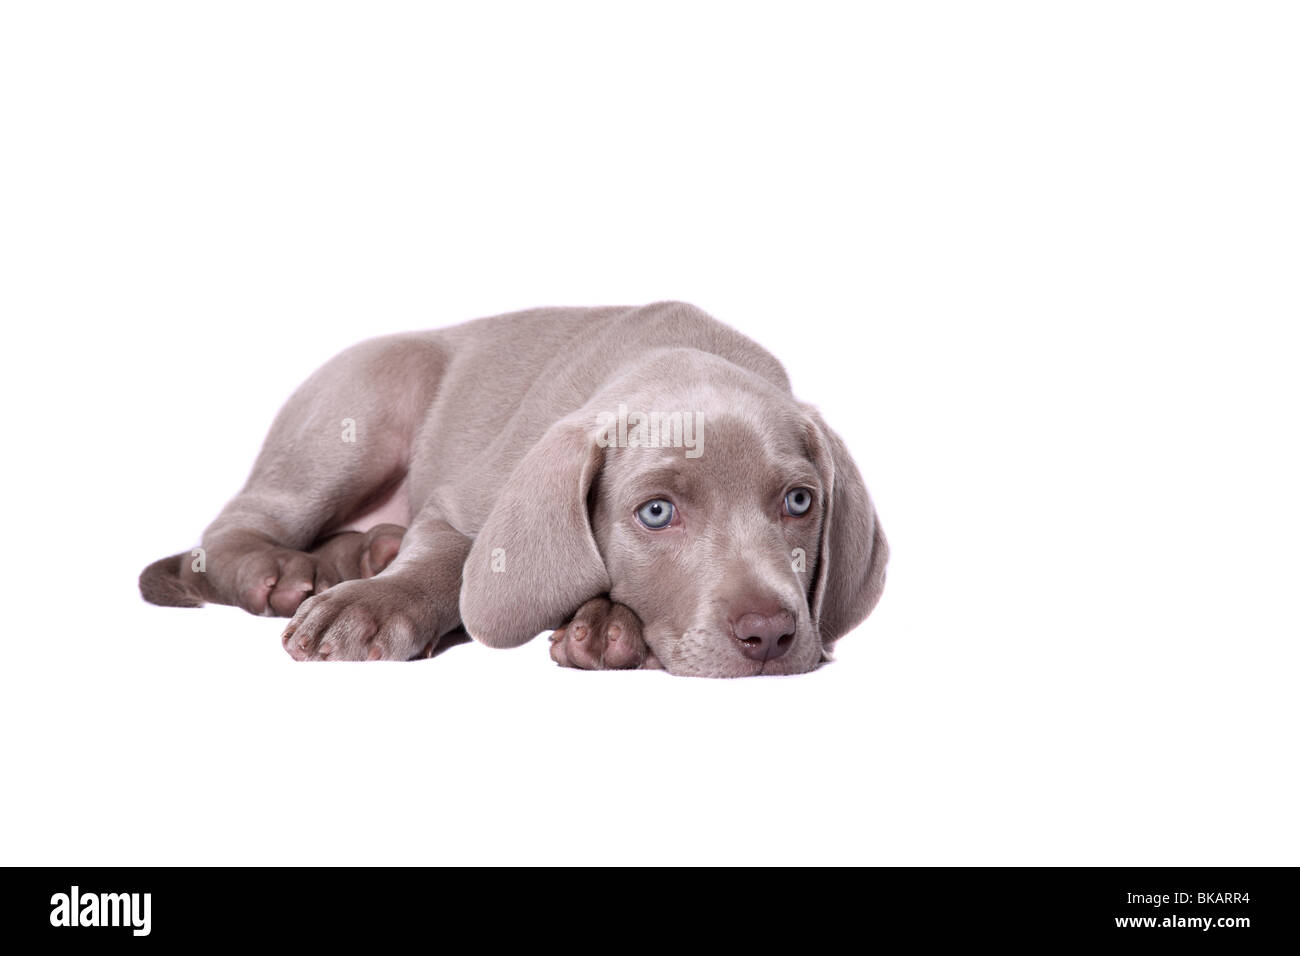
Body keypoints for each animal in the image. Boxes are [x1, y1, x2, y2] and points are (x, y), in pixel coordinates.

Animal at [144, 303, 894, 676]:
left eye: (799, 502)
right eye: (656, 512)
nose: (769, 635)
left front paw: (603, 625)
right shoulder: (461, 502)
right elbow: (449, 559)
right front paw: (371, 606)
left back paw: (367, 550)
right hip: (362, 410)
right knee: (233, 527)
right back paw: (283, 572)